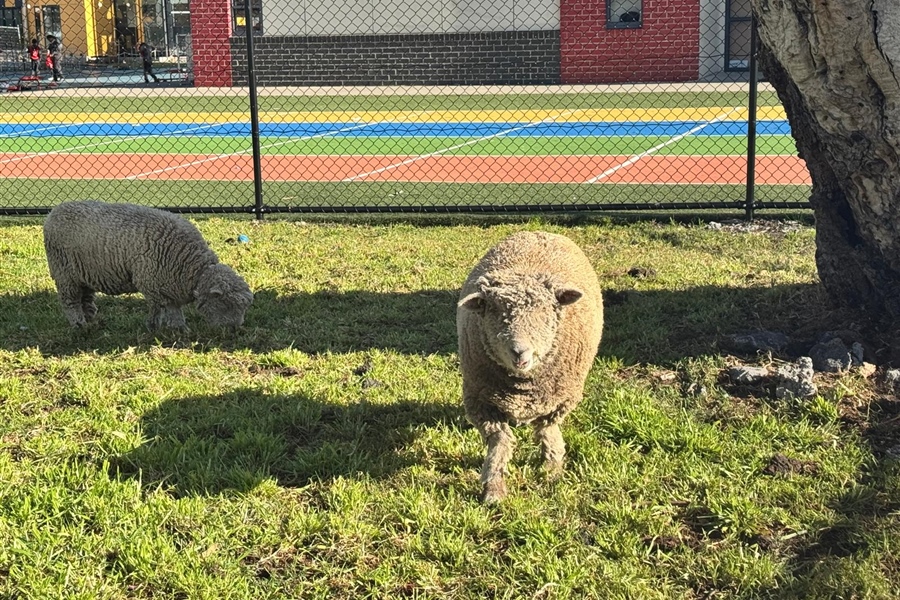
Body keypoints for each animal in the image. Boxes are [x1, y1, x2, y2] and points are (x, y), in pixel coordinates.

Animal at [43, 200, 253, 330]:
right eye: (225, 304)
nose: (235, 329)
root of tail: (55, 211)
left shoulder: (169, 285)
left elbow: (173, 309)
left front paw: (179, 328)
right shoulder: (151, 283)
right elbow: (157, 309)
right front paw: (153, 328)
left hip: (84, 273)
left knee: (85, 298)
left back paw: (90, 319)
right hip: (64, 273)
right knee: (70, 301)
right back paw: (79, 324)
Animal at [457, 231, 604, 503]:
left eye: (545, 312)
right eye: (495, 311)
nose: (520, 351)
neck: (522, 384)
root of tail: (539, 231)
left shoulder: (559, 400)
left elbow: (547, 429)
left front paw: (552, 468)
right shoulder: (481, 400)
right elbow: (500, 440)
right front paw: (493, 487)